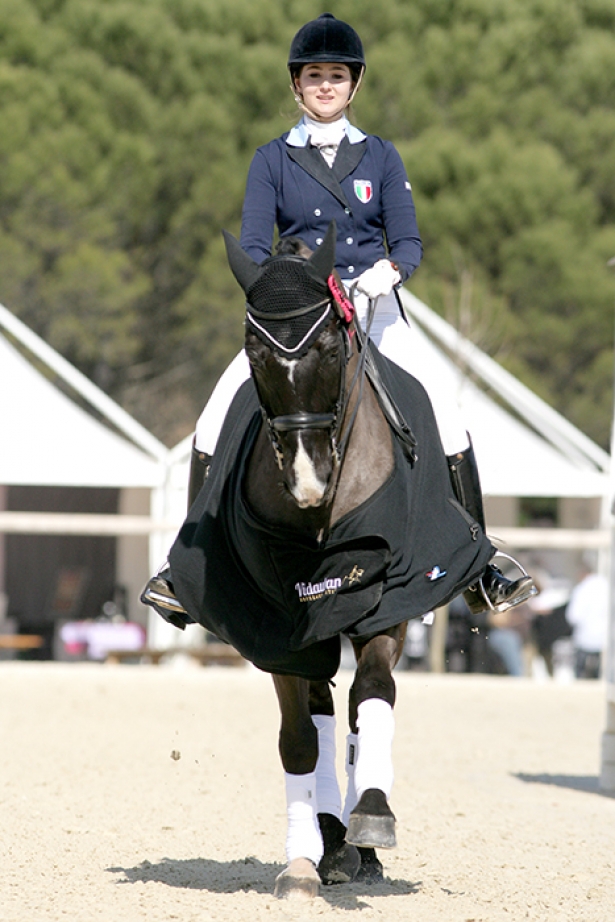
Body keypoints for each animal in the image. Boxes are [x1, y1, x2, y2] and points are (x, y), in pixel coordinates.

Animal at [167, 223, 496, 900]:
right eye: (254, 352)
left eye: (325, 346)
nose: (308, 479)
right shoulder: (275, 622)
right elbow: (298, 740)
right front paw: (302, 861)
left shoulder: (390, 598)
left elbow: (372, 694)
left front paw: (372, 816)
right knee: (321, 714)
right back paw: (330, 842)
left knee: (352, 717)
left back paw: (357, 843)